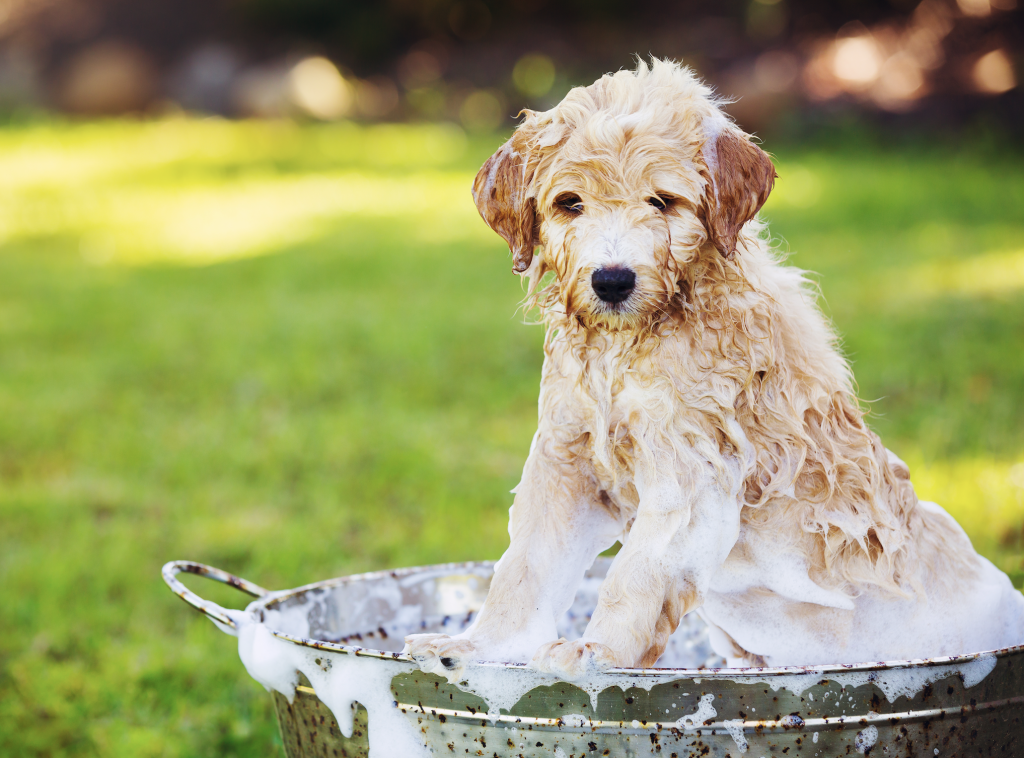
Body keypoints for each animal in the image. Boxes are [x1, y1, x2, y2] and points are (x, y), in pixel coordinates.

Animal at [403, 59, 1019, 680]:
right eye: (569, 203)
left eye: (663, 202)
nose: (612, 281)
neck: (629, 351)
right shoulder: (564, 458)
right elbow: (523, 569)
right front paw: (479, 646)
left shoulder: (691, 474)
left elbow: (632, 577)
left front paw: (596, 652)